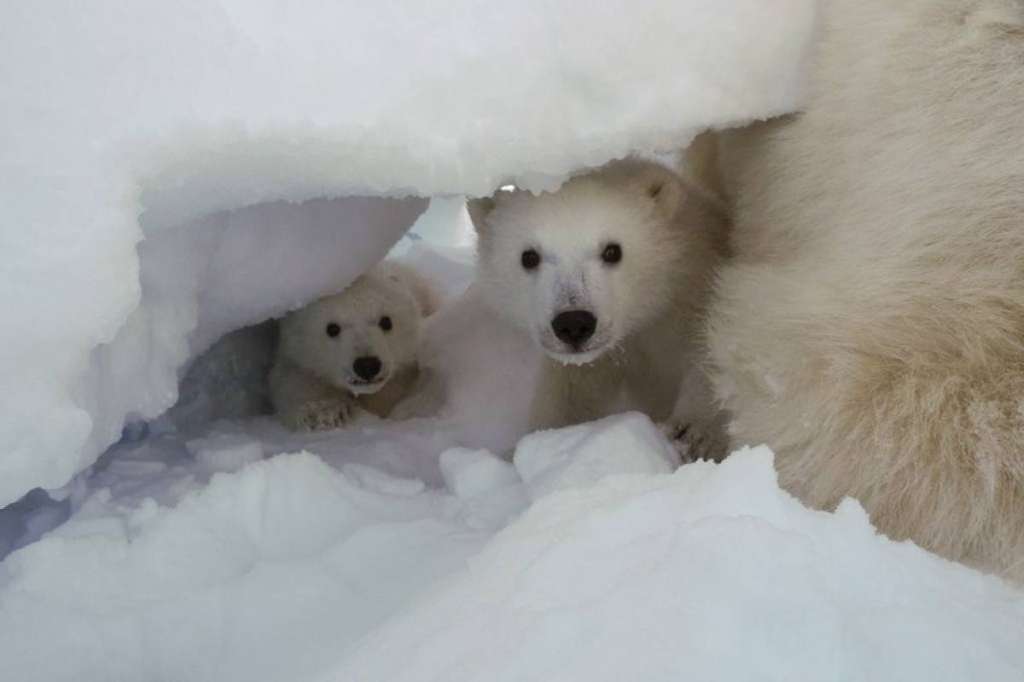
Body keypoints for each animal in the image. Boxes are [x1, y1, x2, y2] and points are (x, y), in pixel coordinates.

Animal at [269, 261, 438, 431]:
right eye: (332, 328)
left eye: (386, 321)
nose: (367, 365)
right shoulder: (295, 358)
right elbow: (296, 382)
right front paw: (325, 412)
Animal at [469, 158, 730, 462]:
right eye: (529, 257)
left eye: (613, 251)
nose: (573, 323)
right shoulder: (600, 360)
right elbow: (570, 396)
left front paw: (692, 434)